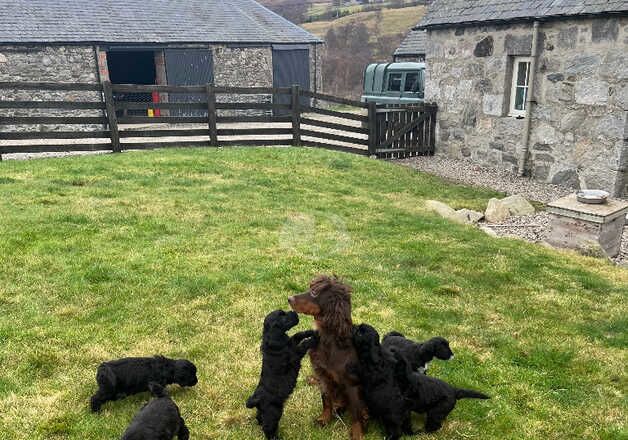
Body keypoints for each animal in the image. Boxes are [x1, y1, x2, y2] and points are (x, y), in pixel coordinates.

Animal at [244, 310, 316, 440]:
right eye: (282, 317)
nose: (295, 312)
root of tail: (256, 399)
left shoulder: (291, 342)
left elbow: (297, 335)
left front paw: (311, 331)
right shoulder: (294, 354)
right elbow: (302, 344)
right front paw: (313, 339)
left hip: (265, 411)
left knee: (260, 417)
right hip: (274, 412)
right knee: (268, 427)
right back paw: (275, 437)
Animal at [288, 276, 366, 438]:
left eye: (315, 292)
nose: (289, 298)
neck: (330, 339)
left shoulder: (352, 383)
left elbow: (356, 412)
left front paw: (357, 434)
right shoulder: (322, 374)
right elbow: (326, 399)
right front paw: (324, 419)